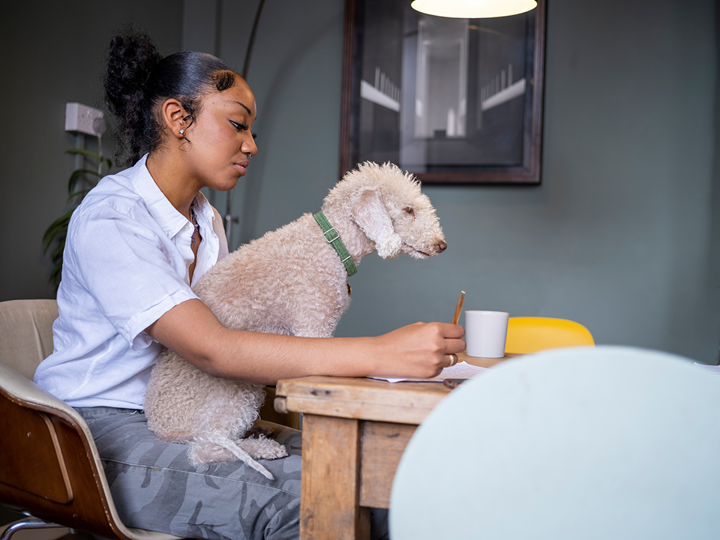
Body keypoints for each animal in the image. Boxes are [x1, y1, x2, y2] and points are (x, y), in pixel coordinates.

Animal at [143, 160, 448, 476]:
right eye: (408, 210)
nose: (442, 244)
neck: (331, 242)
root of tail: (161, 427)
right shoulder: (313, 326)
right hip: (237, 393)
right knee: (204, 449)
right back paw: (263, 448)